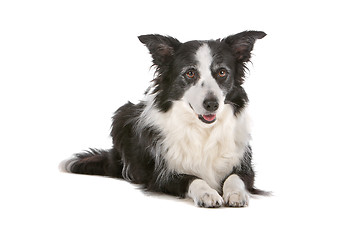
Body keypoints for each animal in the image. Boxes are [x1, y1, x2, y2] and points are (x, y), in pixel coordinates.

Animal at [62, 31, 268, 208]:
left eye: (222, 72)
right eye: (190, 73)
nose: (212, 104)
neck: (202, 130)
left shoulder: (245, 167)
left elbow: (235, 178)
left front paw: (236, 193)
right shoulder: (161, 176)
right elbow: (192, 178)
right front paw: (207, 193)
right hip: (121, 114)